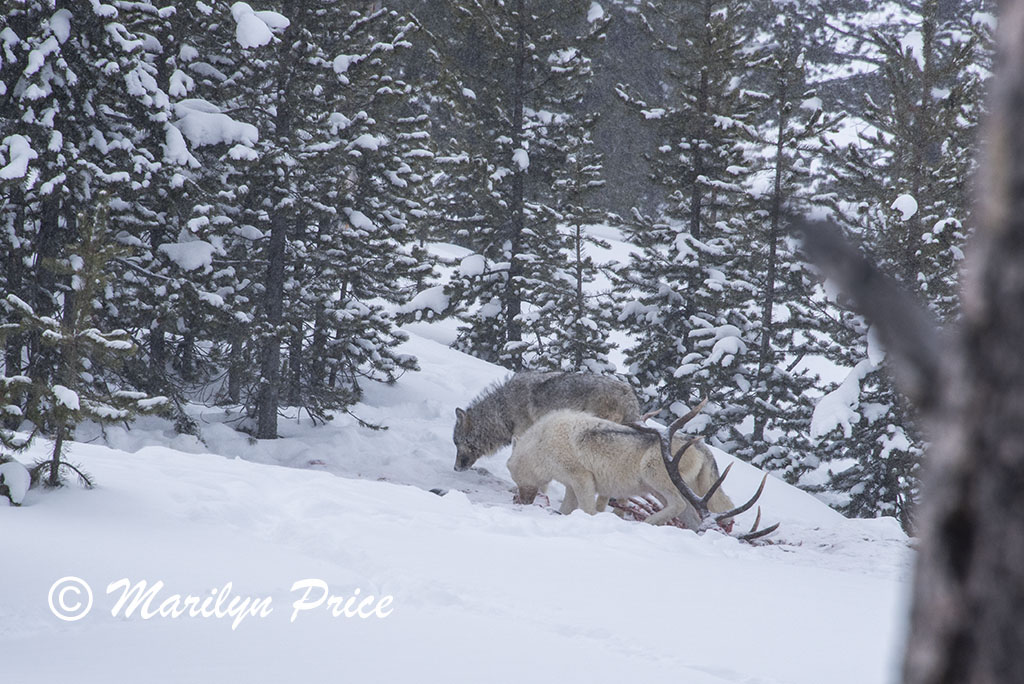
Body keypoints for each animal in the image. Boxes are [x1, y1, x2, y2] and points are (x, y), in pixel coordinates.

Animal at [507, 409, 735, 528]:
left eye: (516, 478)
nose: (523, 501)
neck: (542, 444)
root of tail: (701, 445)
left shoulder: (582, 479)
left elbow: (588, 510)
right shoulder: (572, 486)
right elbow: (566, 509)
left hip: (654, 478)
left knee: (678, 505)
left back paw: (645, 523)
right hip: (659, 492)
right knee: (691, 518)